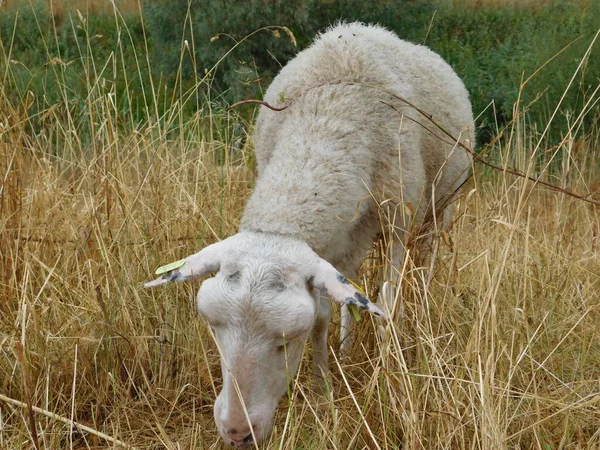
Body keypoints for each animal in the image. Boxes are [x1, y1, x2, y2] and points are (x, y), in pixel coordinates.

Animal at [144, 22, 474, 448]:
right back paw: (346, 349)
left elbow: (387, 302)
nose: (236, 431)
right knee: (351, 294)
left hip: (437, 209)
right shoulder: (325, 249)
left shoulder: (398, 222)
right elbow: (323, 316)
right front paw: (325, 389)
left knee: (422, 268)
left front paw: (386, 375)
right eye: (215, 331)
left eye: (286, 342)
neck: (328, 119)